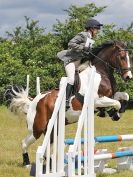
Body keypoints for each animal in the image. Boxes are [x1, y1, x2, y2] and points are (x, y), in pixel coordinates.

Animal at [4, 40, 132, 167]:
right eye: (122, 57)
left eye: (128, 57)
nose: (128, 77)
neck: (100, 74)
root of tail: (33, 102)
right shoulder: (97, 100)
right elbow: (117, 103)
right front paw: (113, 114)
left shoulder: (110, 96)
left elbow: (124, 96)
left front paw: (116, 113)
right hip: (36, 129)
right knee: (24, 143)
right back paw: (27, 163)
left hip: (51, 129)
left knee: (46, 148)